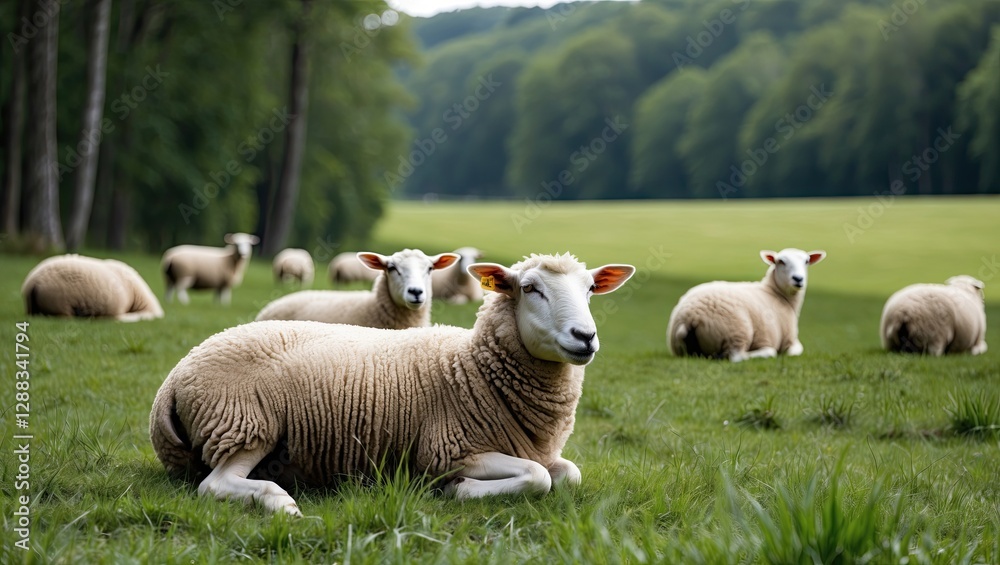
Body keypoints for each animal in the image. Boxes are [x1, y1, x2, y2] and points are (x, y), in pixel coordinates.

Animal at [667, 248, 826, 362]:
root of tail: (690, 318)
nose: (798, 279)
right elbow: (797, 350)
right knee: (736, 357)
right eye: (780, 261)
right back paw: (764, 352)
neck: (776, 293)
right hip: (737, 331)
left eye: (806, 261)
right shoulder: (789, 342)